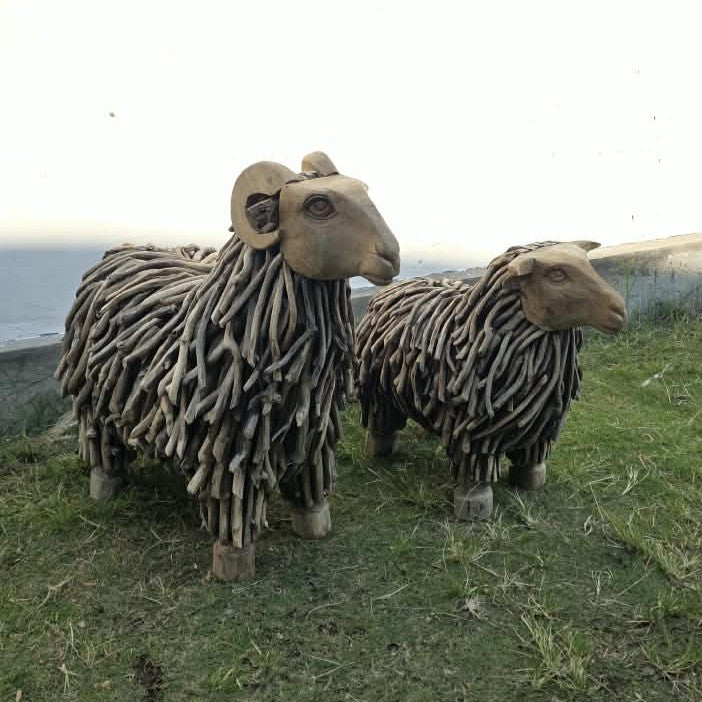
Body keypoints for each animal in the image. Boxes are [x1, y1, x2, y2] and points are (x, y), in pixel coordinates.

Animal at [55, 152, 400, 580]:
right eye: (318, 205)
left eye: (363, 190)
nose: (391, 255)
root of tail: (121, 250)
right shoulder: (232, 443)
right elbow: (234, 500)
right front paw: (233, 560)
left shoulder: (312, 429)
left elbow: (311, 482)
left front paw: (315, 523)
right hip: (97, 401)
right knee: (102, 440)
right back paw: (105, 483)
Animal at [355, 241, 626, 519]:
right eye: (557, 275)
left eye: (587, 264)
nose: (619, 310)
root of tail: (393, 287)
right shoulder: (473, 430)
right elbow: (474, 470)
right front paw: (475, 503)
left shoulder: (541, 423)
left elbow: (532, 459)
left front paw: (531, 479)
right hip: (376, 389)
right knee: (381, 421)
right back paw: (380, 449)